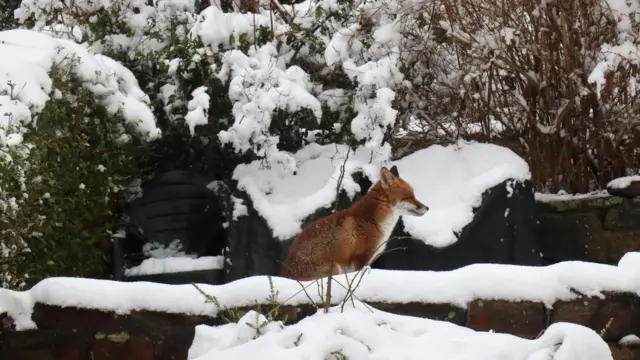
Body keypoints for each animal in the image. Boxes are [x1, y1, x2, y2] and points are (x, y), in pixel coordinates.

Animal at [280, 165, 430, 282]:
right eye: (410, 197)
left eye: (413, 195)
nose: (427, 208)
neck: (372, 221)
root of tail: (285, 274)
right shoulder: (361, 259)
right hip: (335, 267)